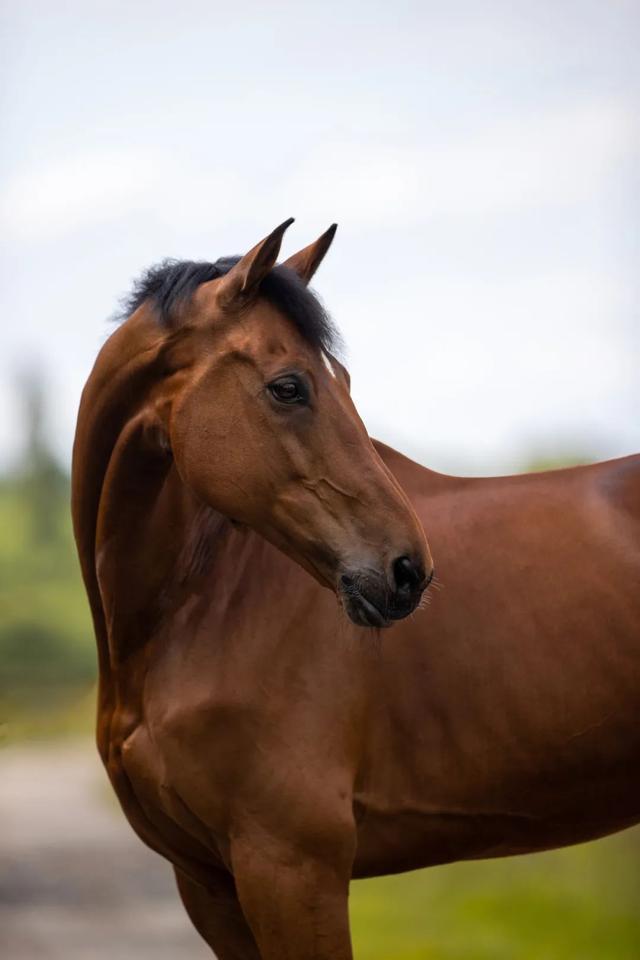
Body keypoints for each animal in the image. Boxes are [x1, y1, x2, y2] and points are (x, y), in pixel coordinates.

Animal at [72, 219, 640, 960]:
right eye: (289, 386)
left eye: (341, 378)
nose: (408, 570)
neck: (197, 608)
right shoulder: (209, 888)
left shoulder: (292, 870)